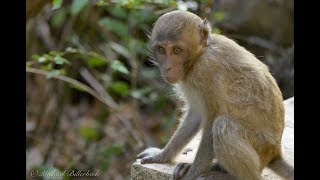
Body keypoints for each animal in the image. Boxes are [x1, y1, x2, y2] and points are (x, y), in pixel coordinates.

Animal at [136, 10, 294, 180]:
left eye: (176, 50)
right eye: (162, 50)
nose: (167, 67)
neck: (200, 54)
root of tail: (275, 152)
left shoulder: (205, 69)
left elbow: (211, 120)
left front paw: (192, 173)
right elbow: (195, 116)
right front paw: (162, 156)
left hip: (261, 145)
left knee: (223, 125)